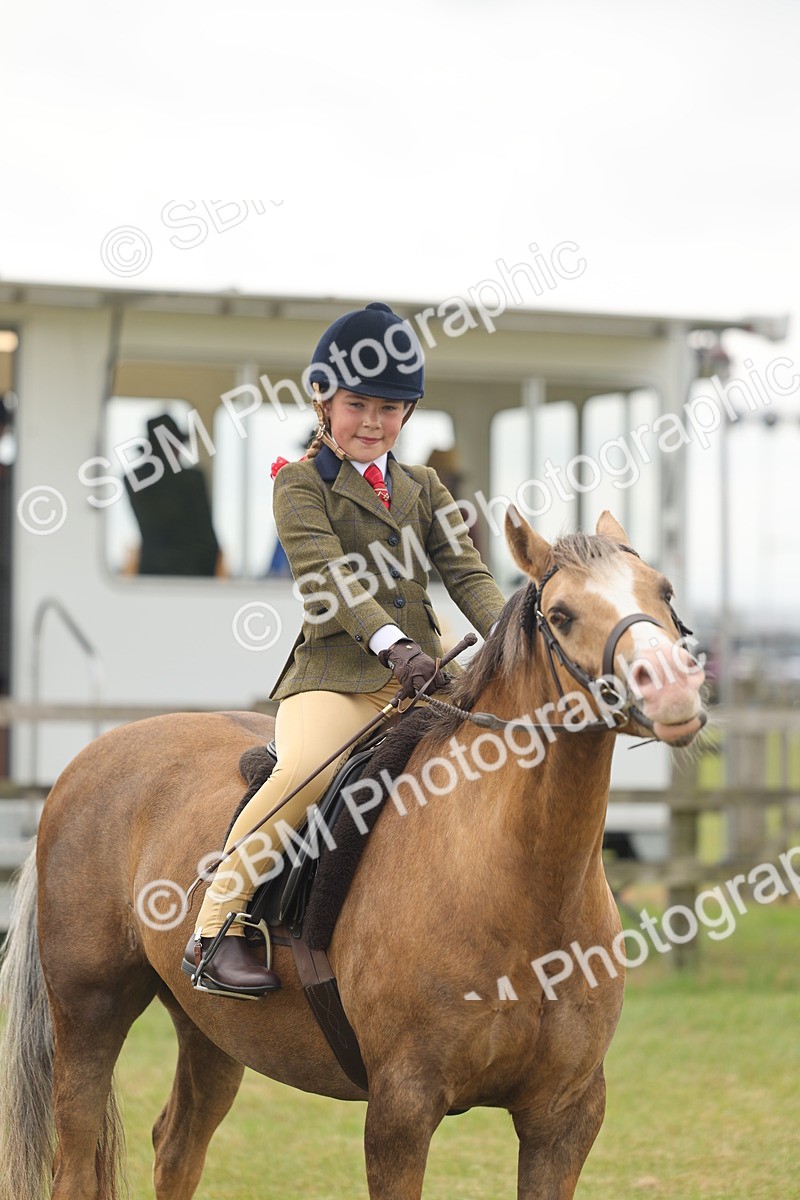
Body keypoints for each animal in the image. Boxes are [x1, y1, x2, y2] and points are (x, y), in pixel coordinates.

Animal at [0, 508, 707, 1200]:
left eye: (665, 592)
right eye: (561, 615)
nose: (675, 692)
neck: (521, 884)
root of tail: (90, 756)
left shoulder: (564, 1117)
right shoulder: (402, 1110)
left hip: (210, 1031)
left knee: (176, 1148)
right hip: (89, 1011)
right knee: (74, 1160)